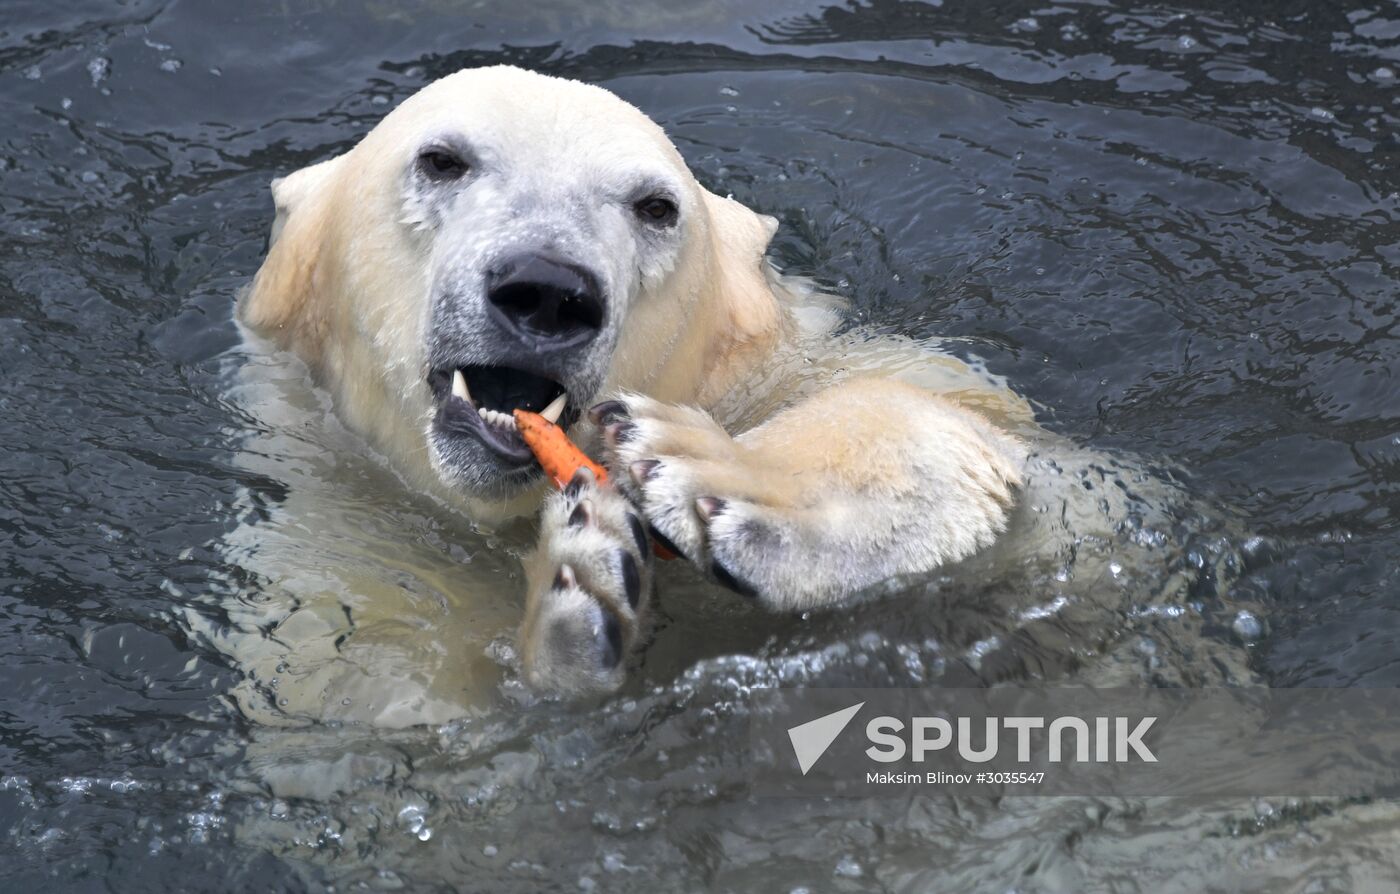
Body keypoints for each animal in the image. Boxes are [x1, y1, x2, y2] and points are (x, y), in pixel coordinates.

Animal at [238, 66, 1248, 702]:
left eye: (655, 206)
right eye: (441, 159)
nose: (548, 288)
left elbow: (1081, 520)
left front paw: (712, 473)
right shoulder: (339, 563)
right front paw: (583, 592)